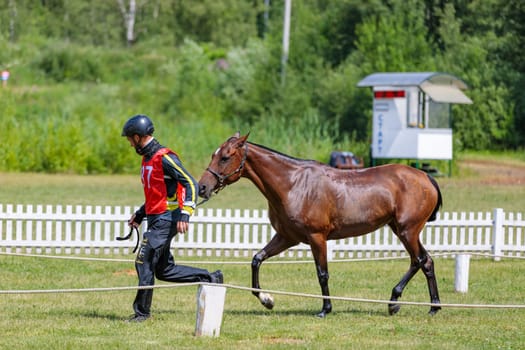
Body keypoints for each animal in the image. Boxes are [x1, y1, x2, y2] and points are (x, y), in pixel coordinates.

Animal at [199, 132, 440, 318]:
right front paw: (267, 299)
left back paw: (396, 302)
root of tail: (425, 177)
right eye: (213, 155)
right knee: (425, 261)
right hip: (401, 230)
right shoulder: (286, 237)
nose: (202, 187)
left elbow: (322, 274)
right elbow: (256, 259)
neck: (293, 184)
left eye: (225, 157)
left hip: (407, 231)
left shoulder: (317, 237)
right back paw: (431, 306)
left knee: (419, 260)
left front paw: (325, 309)